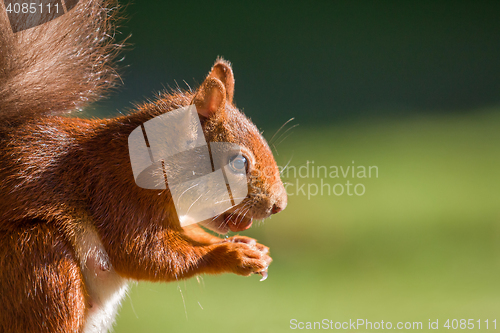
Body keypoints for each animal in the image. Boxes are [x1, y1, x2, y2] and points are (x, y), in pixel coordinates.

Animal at [0, 1, 286, 330]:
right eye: (239, 162)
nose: (279, 205)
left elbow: (188, 235)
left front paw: (250, 246)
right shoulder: (117, 195)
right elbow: (143, 256)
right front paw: (230, 253)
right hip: (40, 263)